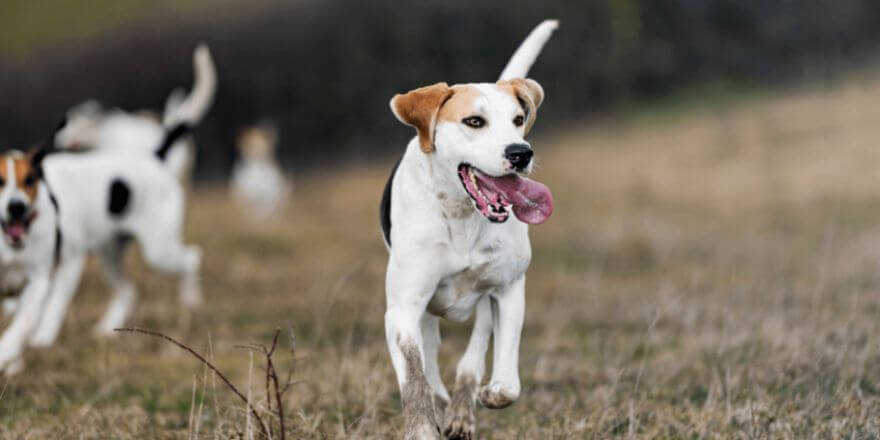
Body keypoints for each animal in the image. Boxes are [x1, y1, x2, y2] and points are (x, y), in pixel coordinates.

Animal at [0, 122, 200, 376]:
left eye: (29, 181)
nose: (16, 207)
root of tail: (154, 157)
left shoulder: (66, 263)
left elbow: (47, 308)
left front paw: (34, 341)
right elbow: (22, 317)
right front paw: (15, 360)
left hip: (158, 250)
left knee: (192, 258)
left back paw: (191, 299)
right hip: (110, 256)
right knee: (128, 291)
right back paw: (107, 327)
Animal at [380, 19, 556, 440]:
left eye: (518, 119)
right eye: (474, 122)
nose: (520, 153)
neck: (462, 215)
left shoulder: (507, 289)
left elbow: (504, 382)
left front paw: (488, 395)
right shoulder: (403, 309)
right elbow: (415, 378)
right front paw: (423, 427)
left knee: (472, 354)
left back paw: (462, 409)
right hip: (425, 313)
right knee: (430, 356)